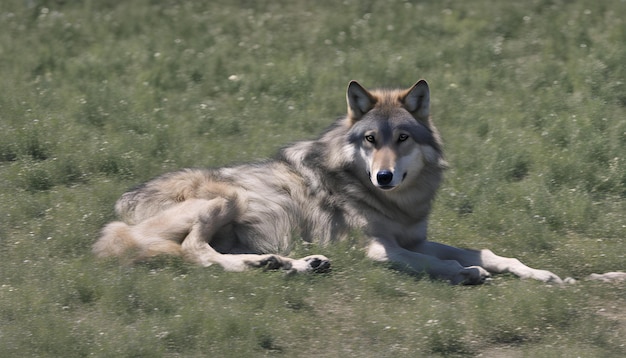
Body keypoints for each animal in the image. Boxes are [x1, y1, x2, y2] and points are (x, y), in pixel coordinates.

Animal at [94, 80, 564, 286]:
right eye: (371, 139)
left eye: (402, 138)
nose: (384, 175)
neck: (396, 202)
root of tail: (121, 214)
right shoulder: (380, 250)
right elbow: (436, 263)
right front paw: (466, 272)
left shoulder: (416, 238)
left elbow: (491, 253)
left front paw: (540, 273)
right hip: (225, 199)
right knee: (193, 251)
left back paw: (291, 264)